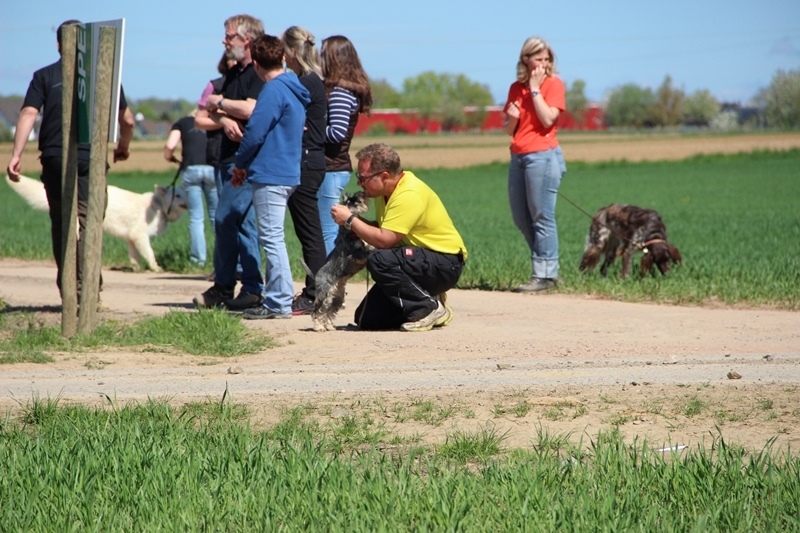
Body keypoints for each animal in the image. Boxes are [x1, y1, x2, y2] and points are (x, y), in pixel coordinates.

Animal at [6, 175, 188, 272]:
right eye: (178, 195)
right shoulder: (140, 236)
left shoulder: (131, 239)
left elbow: (134, 257)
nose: (191, 200)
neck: (159, 206)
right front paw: (156, 268)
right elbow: (150, 254)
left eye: (184, 193)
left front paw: (136, 269)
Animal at [312, 191, 376, 330]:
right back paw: (319, 327)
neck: (350, 231)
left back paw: (329, 326)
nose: (361, 193)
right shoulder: (358, 254)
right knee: (317, 311)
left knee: (329, 311)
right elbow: (369, 250)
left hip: (337, 298)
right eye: (351, 200)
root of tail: (316, 276)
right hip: (324, 294)